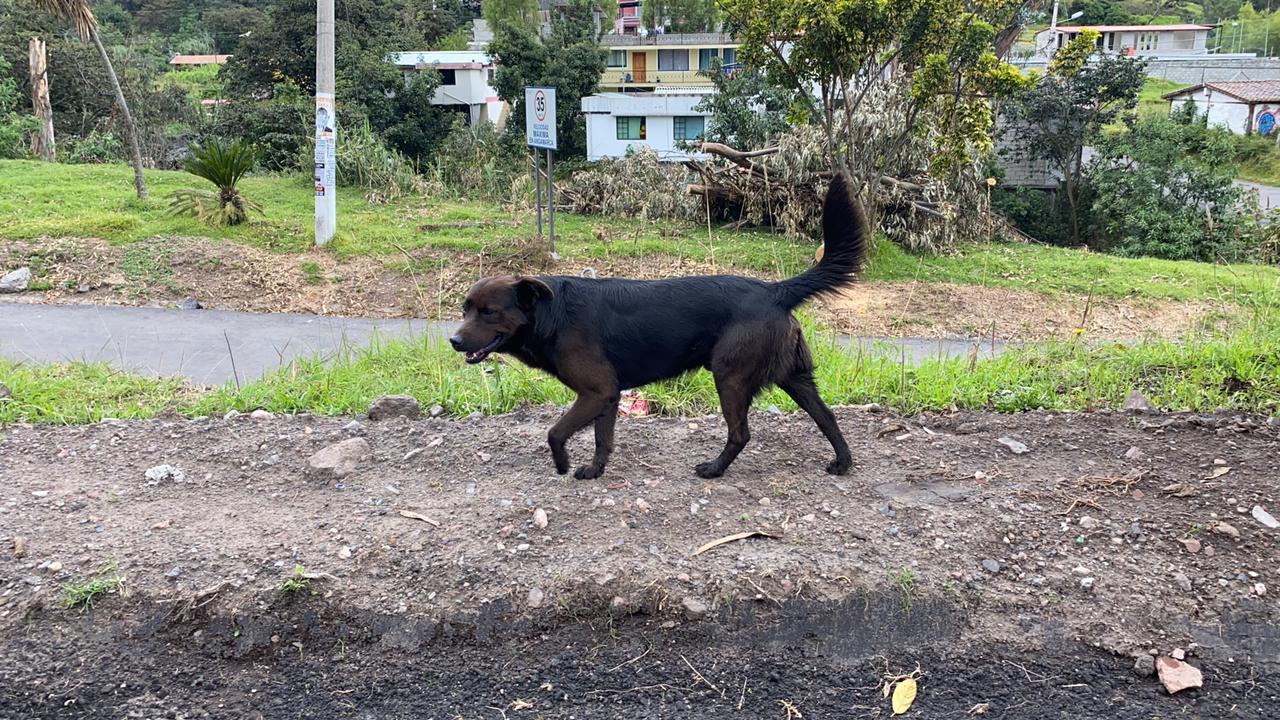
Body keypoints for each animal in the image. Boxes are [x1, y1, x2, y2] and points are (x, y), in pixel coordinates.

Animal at [450, 170, 870, 479]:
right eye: (465, 308)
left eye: (489, 312)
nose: (453, 340)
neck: (553, 314)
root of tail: (775, 290)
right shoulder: (607, 396)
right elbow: (602, 440)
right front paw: (595, 471)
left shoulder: (596, 391)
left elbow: (555, 432)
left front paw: (563, 464)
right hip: (792, 376)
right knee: (827, 416)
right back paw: (843, 462)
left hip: (730, 376)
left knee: (741, 433)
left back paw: (714, 469)